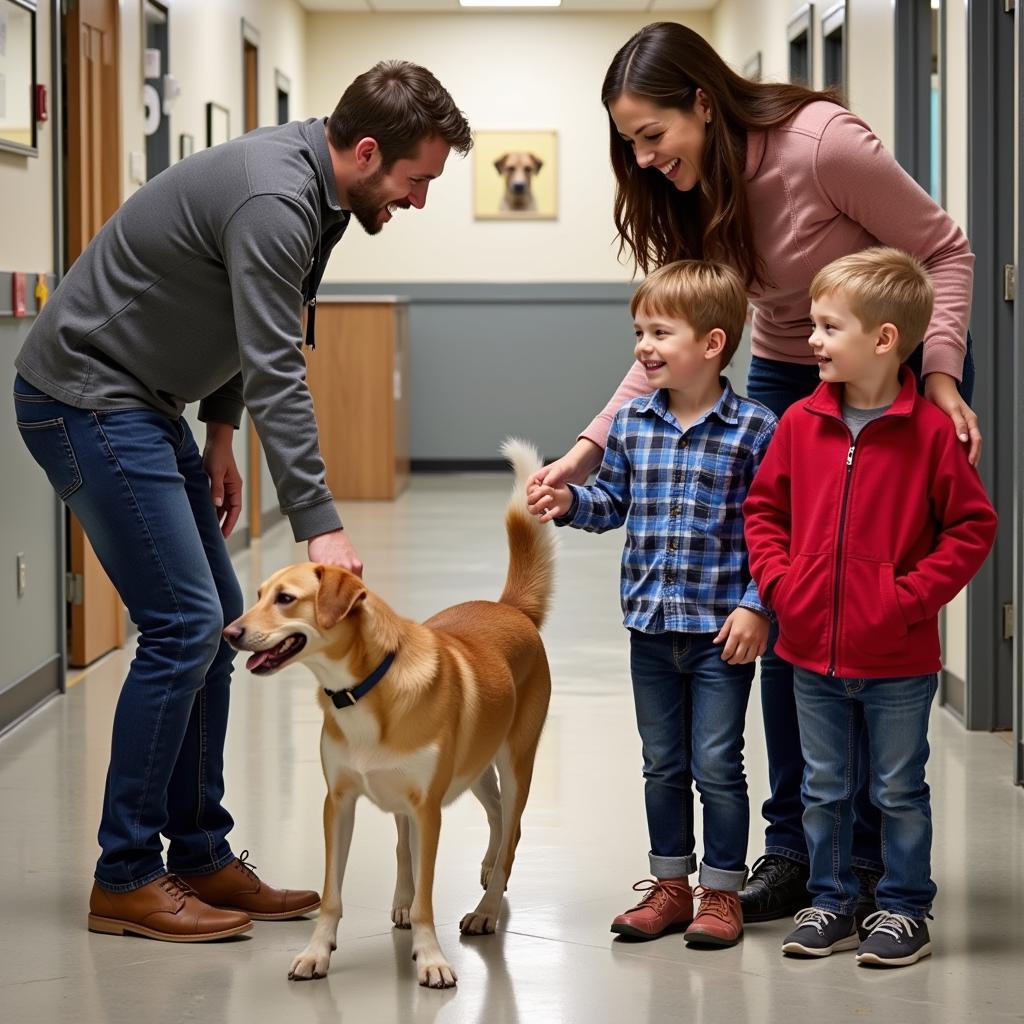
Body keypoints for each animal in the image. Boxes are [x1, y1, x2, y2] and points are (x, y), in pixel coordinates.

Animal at [224, 440, 557, 983]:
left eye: (286, 599)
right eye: (257, 596)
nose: (229, 633)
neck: (364, 689)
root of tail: (511, 608)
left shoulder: (428, 808)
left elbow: (427, 897)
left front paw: (432, 958)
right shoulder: (338, 802)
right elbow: (335, 894)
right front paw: (318, 951)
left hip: (513, 761)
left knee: (512, 824)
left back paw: (487, 906)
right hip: (470, 766)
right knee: (486, 816)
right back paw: (458, 879)